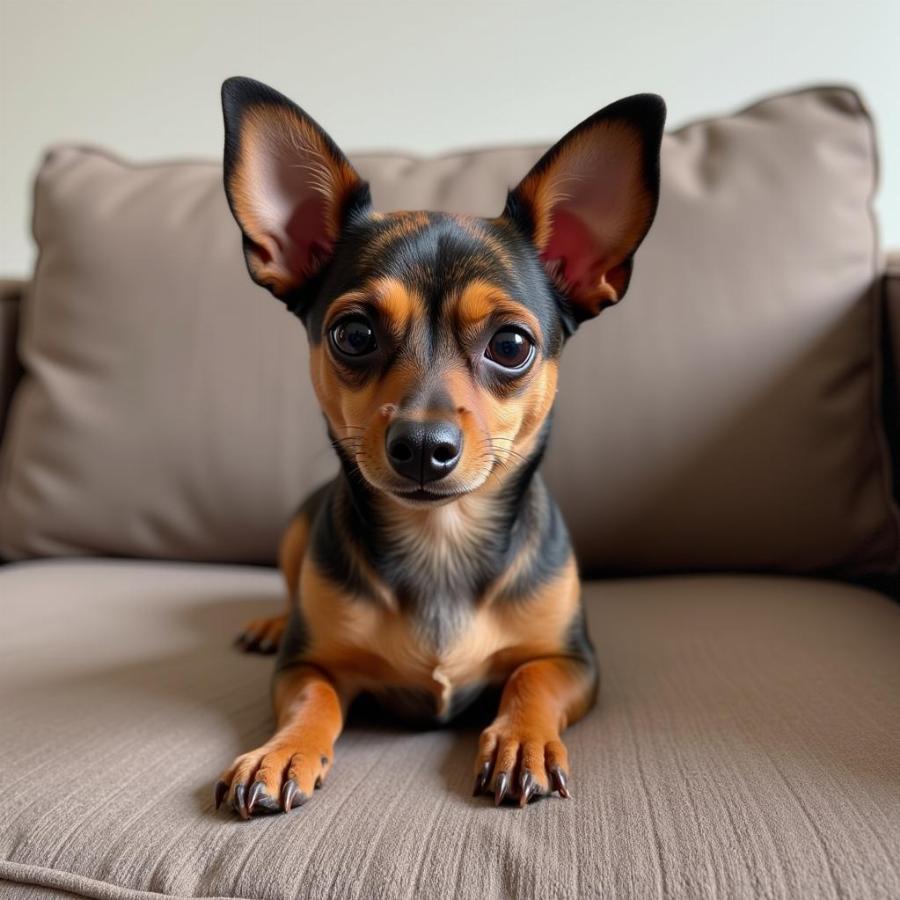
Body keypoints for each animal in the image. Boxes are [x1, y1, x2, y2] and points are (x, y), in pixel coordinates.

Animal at [211, 81, 660, 820]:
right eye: (353, 334)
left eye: (512, 345)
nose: (423, 445)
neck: (440, 539)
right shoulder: (307, 666)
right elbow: (314, 698)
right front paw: (280, 753)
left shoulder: (573, 661)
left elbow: (529, 682)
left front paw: (522, 743)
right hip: (295, 532)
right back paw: (273, 621)